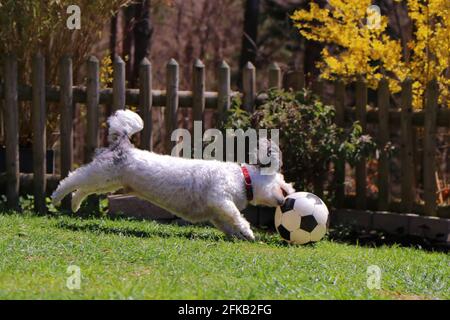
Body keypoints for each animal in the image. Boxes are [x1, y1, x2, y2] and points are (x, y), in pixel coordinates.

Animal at [51, 109, 296, 240]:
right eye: (283, 183)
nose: (287, 197)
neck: (244, 179)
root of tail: (124, 144)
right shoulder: (221, 199)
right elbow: (236, 216)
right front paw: (249, 232)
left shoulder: (216, 212)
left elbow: (228, 223)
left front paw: (240, 236)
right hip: (102, 174)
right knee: (73, 178)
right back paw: (56, 197)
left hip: (107, 181)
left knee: (83, 188)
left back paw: (74, 204)